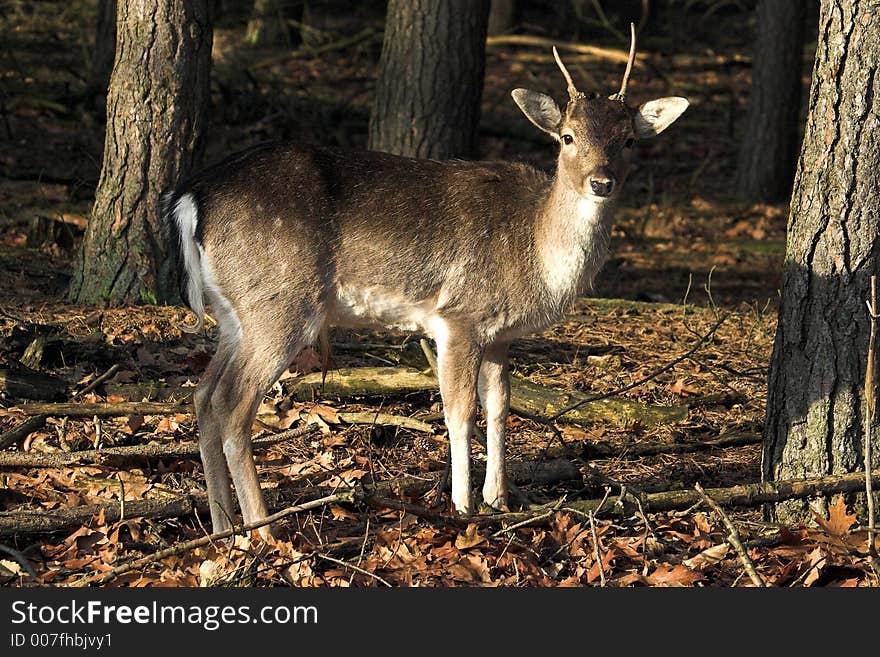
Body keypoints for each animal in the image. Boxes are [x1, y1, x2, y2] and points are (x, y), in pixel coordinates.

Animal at [163, 26, 688, 540]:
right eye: (566, 136)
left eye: (629, 141)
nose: (602, 182)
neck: (536, 255)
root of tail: (192, 197)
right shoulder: (459, 316)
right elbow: (459, 411)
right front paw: (463, 505)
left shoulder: (500, 333)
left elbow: (499, 406)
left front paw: (498, 499)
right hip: (280, 303)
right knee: (232, 404)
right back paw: (262, 530)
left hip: (235, 312)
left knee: (203, 395)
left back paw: (221, 527)